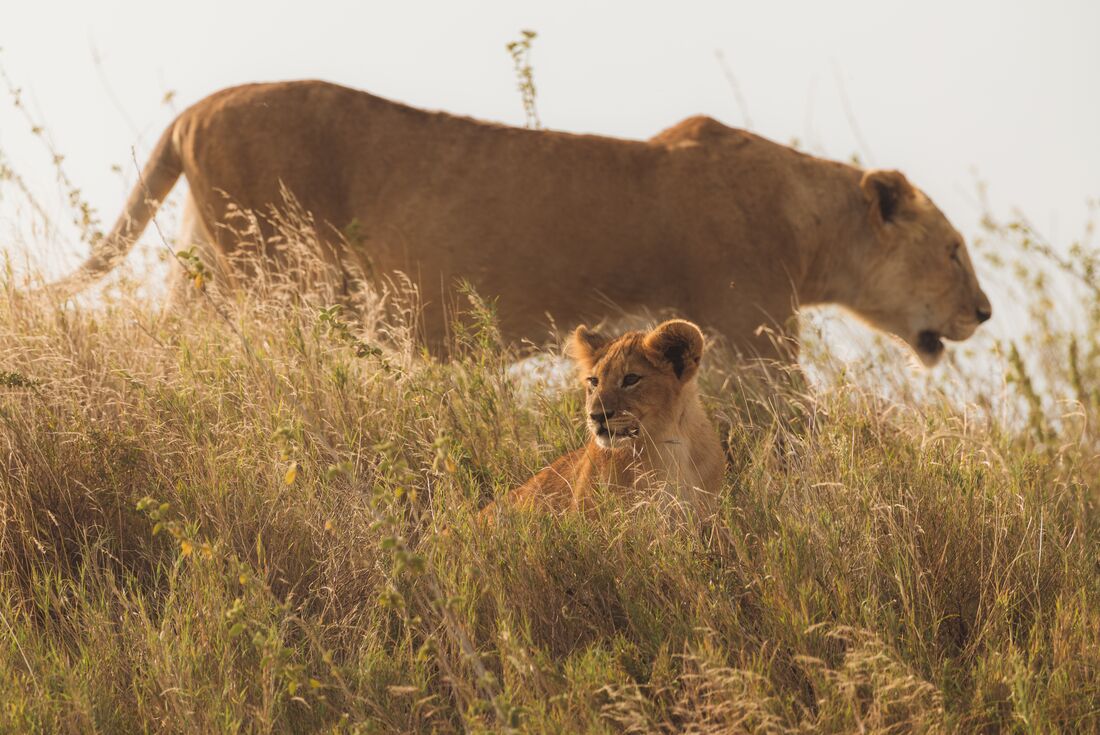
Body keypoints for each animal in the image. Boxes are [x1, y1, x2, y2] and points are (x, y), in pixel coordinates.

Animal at [49, 80, 992, 365]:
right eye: (953, 250)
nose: (984, 312)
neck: (808, 220)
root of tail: (195, 108)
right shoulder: (754, 339)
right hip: (276, 272)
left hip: (212, 269)